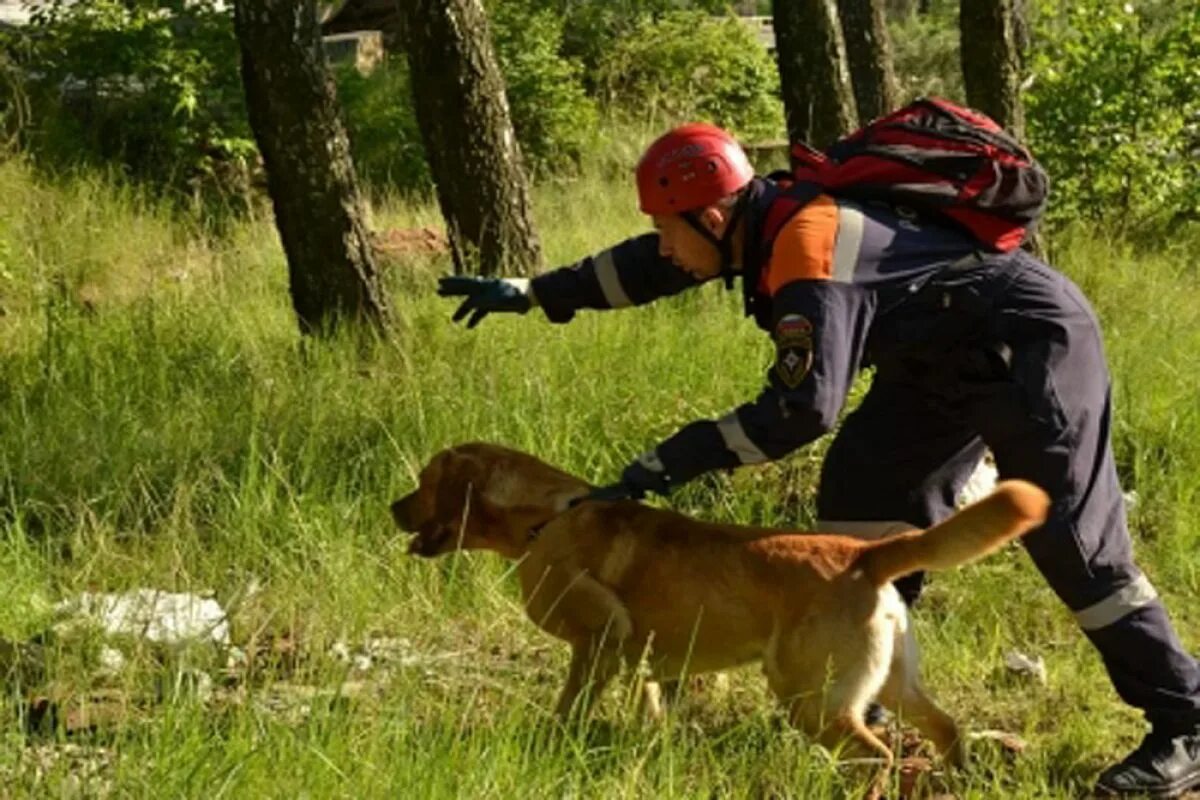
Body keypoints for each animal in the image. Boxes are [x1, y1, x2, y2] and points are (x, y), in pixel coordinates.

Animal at [388, 448, 1046, 791]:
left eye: (423, 483)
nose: (393, 507)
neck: (546, 517)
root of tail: (866, 554)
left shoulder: (597, 641)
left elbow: (570, 705)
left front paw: (556, 741)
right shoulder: (649, 663)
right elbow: (651, 711)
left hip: (811, 699)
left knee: (876, 755)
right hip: (893, 686)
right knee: (948, 729)